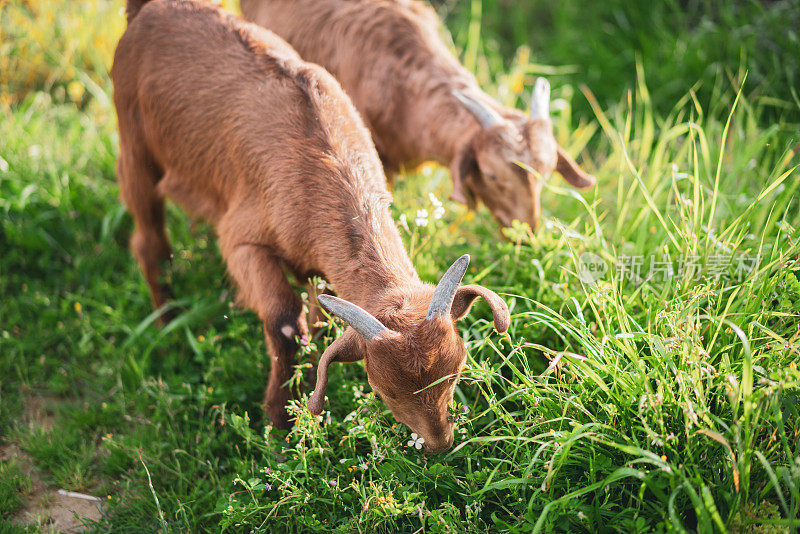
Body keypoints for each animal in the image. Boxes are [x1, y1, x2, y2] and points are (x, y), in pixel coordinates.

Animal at [111, 0, 512, 454]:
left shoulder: (319, 266)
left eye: (457, 368)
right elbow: (285, 321)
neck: (320, 169)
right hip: (134, 143)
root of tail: (148, 10)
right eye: (382, 389)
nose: (439, 443)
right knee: (149, 241)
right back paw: (167, 322)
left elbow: (316, 318)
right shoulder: (242, 242)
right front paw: (280, 422)